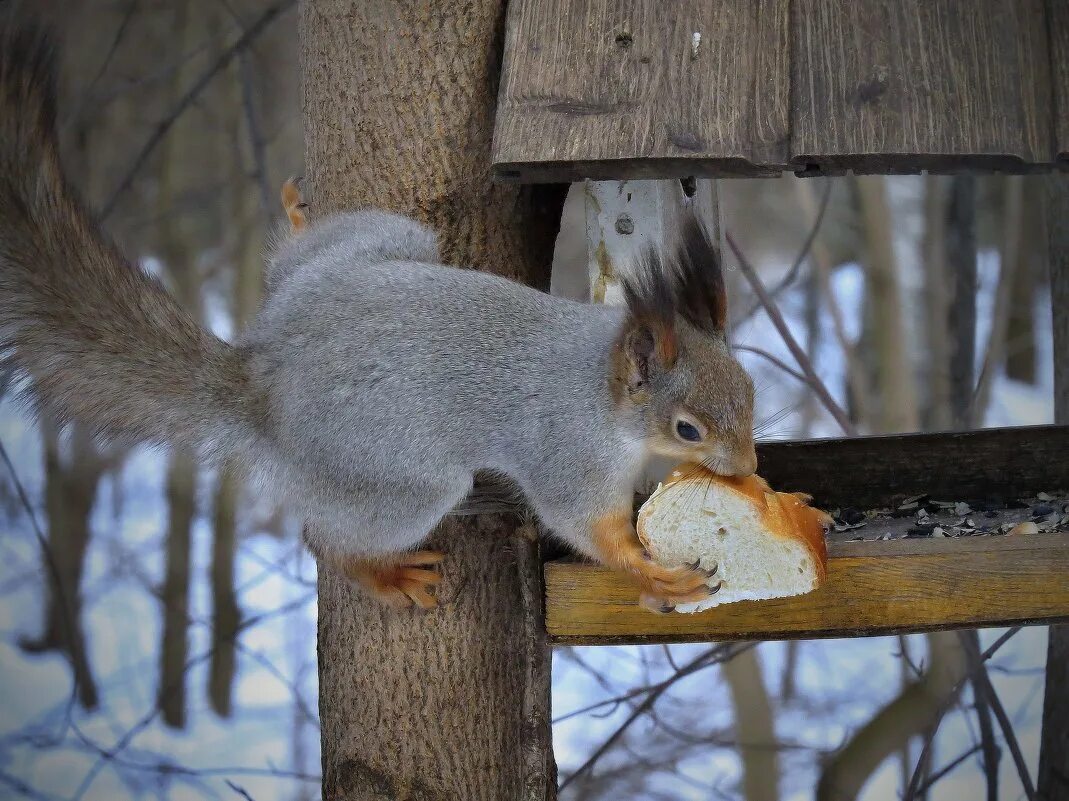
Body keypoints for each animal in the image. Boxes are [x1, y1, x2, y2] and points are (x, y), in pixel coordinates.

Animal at [0, 14, 756, 611]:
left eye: (748, 389)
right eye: (687, 428)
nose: (747, 468)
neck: (603, 389)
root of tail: (265, 374)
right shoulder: (565, 452)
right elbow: (584, 527)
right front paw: (653, 572)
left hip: (382, 247)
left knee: (301, 260)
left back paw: (298, 220)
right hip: (394, 473)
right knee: (327, 535)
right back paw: (382, 574)